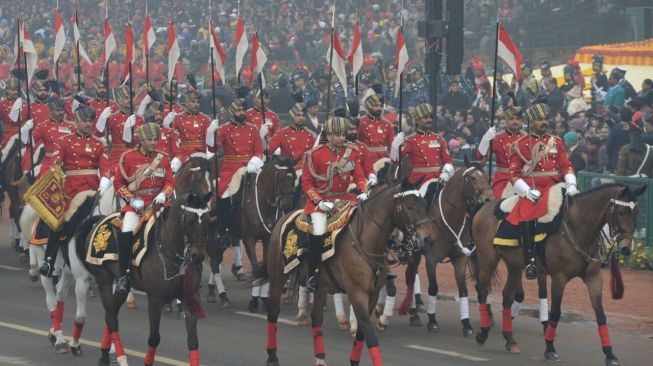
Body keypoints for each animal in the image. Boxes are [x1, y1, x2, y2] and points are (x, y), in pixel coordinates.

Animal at [20, 187, 118, 354]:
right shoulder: (82, 280)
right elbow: (81, 315)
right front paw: (75, 344)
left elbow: (111, 315)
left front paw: (112, 349)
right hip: (44, 261)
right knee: (52, 300)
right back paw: (60, 340)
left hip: (67, 271)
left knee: (60, 293)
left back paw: (54, 334)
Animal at [77, 192, 211, 366]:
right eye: (189, 220)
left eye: (207, 219)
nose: (198, 257)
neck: (171, 253)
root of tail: (99, 221)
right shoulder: (155, 300)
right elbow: (154, 338)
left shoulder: (190, 298)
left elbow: (193, 340)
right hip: (103, 280)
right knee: (112, 319)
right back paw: (122, 358)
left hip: (122, 287)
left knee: (110, 315)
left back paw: (105, 356)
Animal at [260, 176, 438, 364]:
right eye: (409, 206)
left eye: (424, 205)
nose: (429, 239)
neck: (365, 241)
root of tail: (285, 217)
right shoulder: (357, 293)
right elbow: (370, 335)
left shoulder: (372, 295)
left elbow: (362, 333)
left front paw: (354, 360)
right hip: (278, 275)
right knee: (273, 311)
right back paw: (272, 356)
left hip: (321, 285)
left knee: (317, 318)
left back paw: (320, 358)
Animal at [390, 159, 492, 336]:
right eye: (472, 178)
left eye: (487, 176)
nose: (488, 198)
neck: (450, 216)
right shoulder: (431, 259)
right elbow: (433, 288)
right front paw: (432, 320)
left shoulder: (460, 258)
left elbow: (463, 290)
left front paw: (466, 324)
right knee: (410, 277)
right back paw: (414, 311)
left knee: (410, 276)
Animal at [472, 183, 644, 364]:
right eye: (621, 212)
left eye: (637, 212)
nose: (627, 248)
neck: (578, 228)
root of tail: (484, 206)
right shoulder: (559, 278)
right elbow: (555, 312)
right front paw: (550, 348)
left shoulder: (594, 278)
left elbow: (601, 315)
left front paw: (610, 354)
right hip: (488, 259)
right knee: (482, 291)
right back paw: (483, 332)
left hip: (513, 265)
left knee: (507, 297)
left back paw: (510, 339)